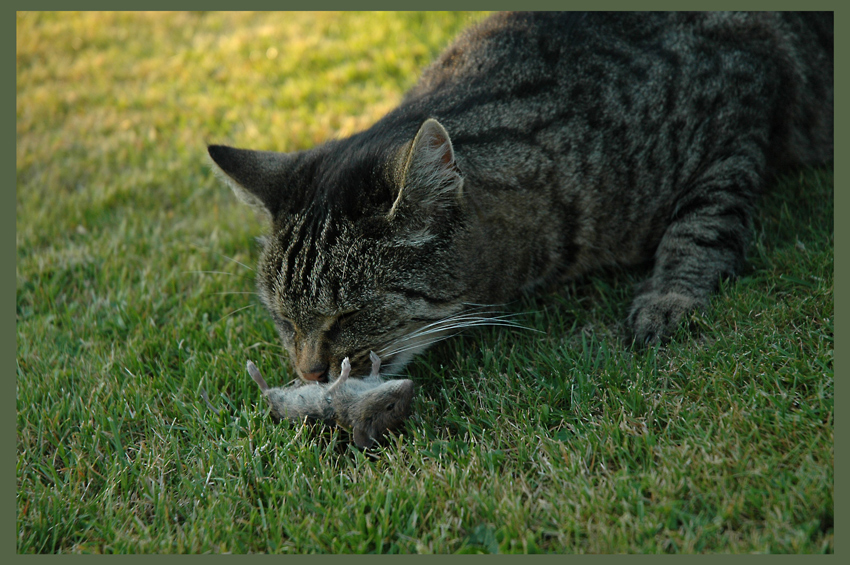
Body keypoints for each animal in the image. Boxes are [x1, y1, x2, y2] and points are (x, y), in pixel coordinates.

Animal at [209, 12, 832, 384]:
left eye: (351, 314)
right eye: (283, 319)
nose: (309, 375)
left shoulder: (739, 103)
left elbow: (702, 223)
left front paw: (670, 296)